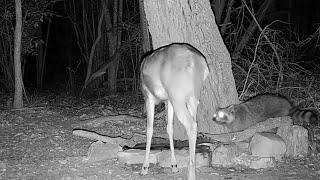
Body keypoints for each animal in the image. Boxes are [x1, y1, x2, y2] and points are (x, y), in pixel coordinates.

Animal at [140, 43, 210, 179]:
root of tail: (197, 62)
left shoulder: (148, 96)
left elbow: (149, 129)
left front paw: (144, 168)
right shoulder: (169, 100)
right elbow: (169, 128)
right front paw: (174, 165)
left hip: (177, 96)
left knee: (191, 125)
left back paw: (191, 174)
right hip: (193, 97)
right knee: (195, 123)